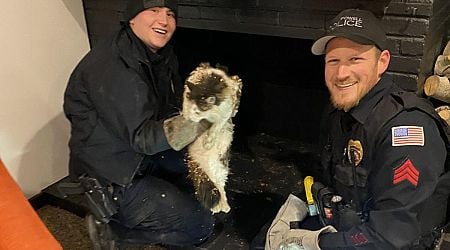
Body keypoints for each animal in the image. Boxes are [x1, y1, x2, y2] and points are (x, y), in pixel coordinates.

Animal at [182, 62, 243, 213]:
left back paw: (223, 205)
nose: (191, 119)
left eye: (198, 111)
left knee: (219, 185)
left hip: (220, 167)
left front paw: (209, 140)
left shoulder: (227, 108)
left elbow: (218, 124)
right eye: (192, 109)